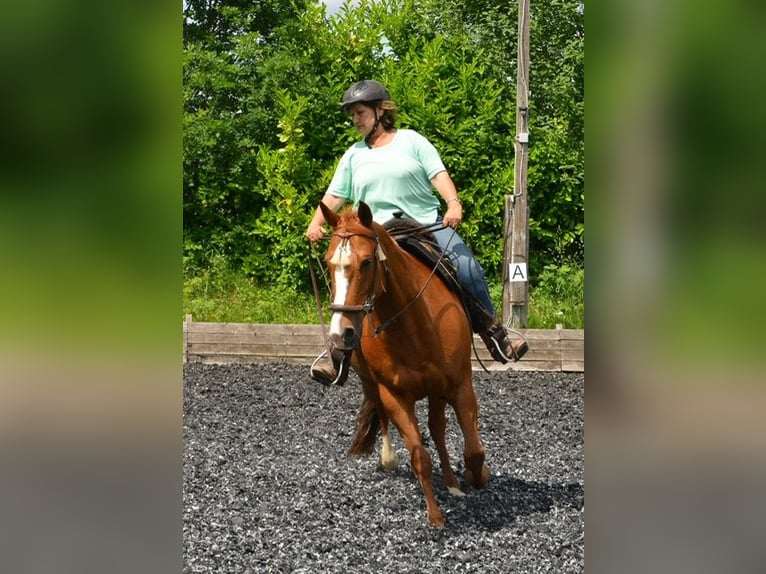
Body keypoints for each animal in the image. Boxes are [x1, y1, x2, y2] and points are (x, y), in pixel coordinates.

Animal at [319, 200, 490, 528]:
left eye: (367, 262)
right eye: (328, 262)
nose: (341, 333)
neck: (415, 324)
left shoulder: (460, 385)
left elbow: (473, 450)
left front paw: (477, 477)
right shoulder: (395, 395)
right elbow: (419, 456)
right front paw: (435, 516)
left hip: (437, 391)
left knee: (438, 429)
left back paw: (453, 483)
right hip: (370, 382)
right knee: (385, 415)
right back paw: (389, 458)